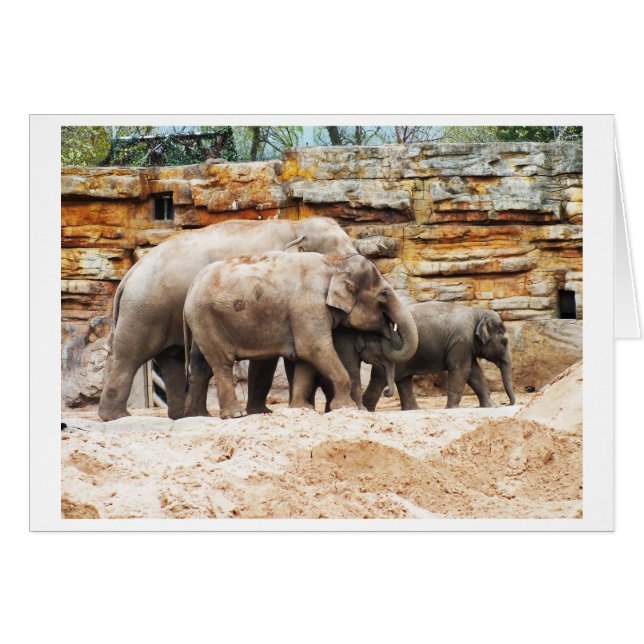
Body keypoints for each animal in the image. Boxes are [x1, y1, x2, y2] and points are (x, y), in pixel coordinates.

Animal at [98, 216, 357, 421]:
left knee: (172, 360)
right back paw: (116, 416)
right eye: (341, 258)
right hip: (144, 311)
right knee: (129, 356)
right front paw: (264, 412)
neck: (296, 225)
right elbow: (271, 357)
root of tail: (129, 274)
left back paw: (183, 416)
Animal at [182, 252, 419, 419]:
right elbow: (315, 348)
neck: (334, 262)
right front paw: (346, 408)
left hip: (201, 319)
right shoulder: (308, 304)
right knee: (222, 361)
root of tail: (191, 285)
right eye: (384, 294)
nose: (387, 329)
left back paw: (198, 415)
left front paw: (302, 409)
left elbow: (306, 358)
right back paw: (235, 414)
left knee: (201, 365)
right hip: (206, 316)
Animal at [362, 301, 516, 411]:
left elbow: (474, 372)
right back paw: (368, 409)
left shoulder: (466, 346)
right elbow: (461, 370)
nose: (508, 404)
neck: (477, 312)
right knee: (380, 378)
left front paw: (492, 406)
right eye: (504, 342)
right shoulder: (461, 342)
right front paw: (452, 408)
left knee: (403, 380)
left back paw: (414, 410)